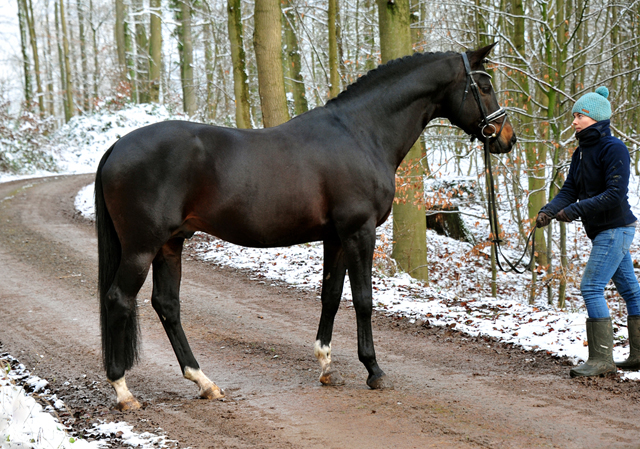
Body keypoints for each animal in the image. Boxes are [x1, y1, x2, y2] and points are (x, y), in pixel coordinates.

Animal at [94, 43, 516, 410]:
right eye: (484, 86)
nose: (506, 139)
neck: (361, 133)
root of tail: (116, 147)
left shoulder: (336, 238)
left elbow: (331, 296)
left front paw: (327, 366)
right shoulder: (360, 232)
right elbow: (363, 299)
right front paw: (374, 371)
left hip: (171, 244)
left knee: (167, 305)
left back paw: (204, 382)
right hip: (142, 247)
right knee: (118, 299)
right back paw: (123, 391)